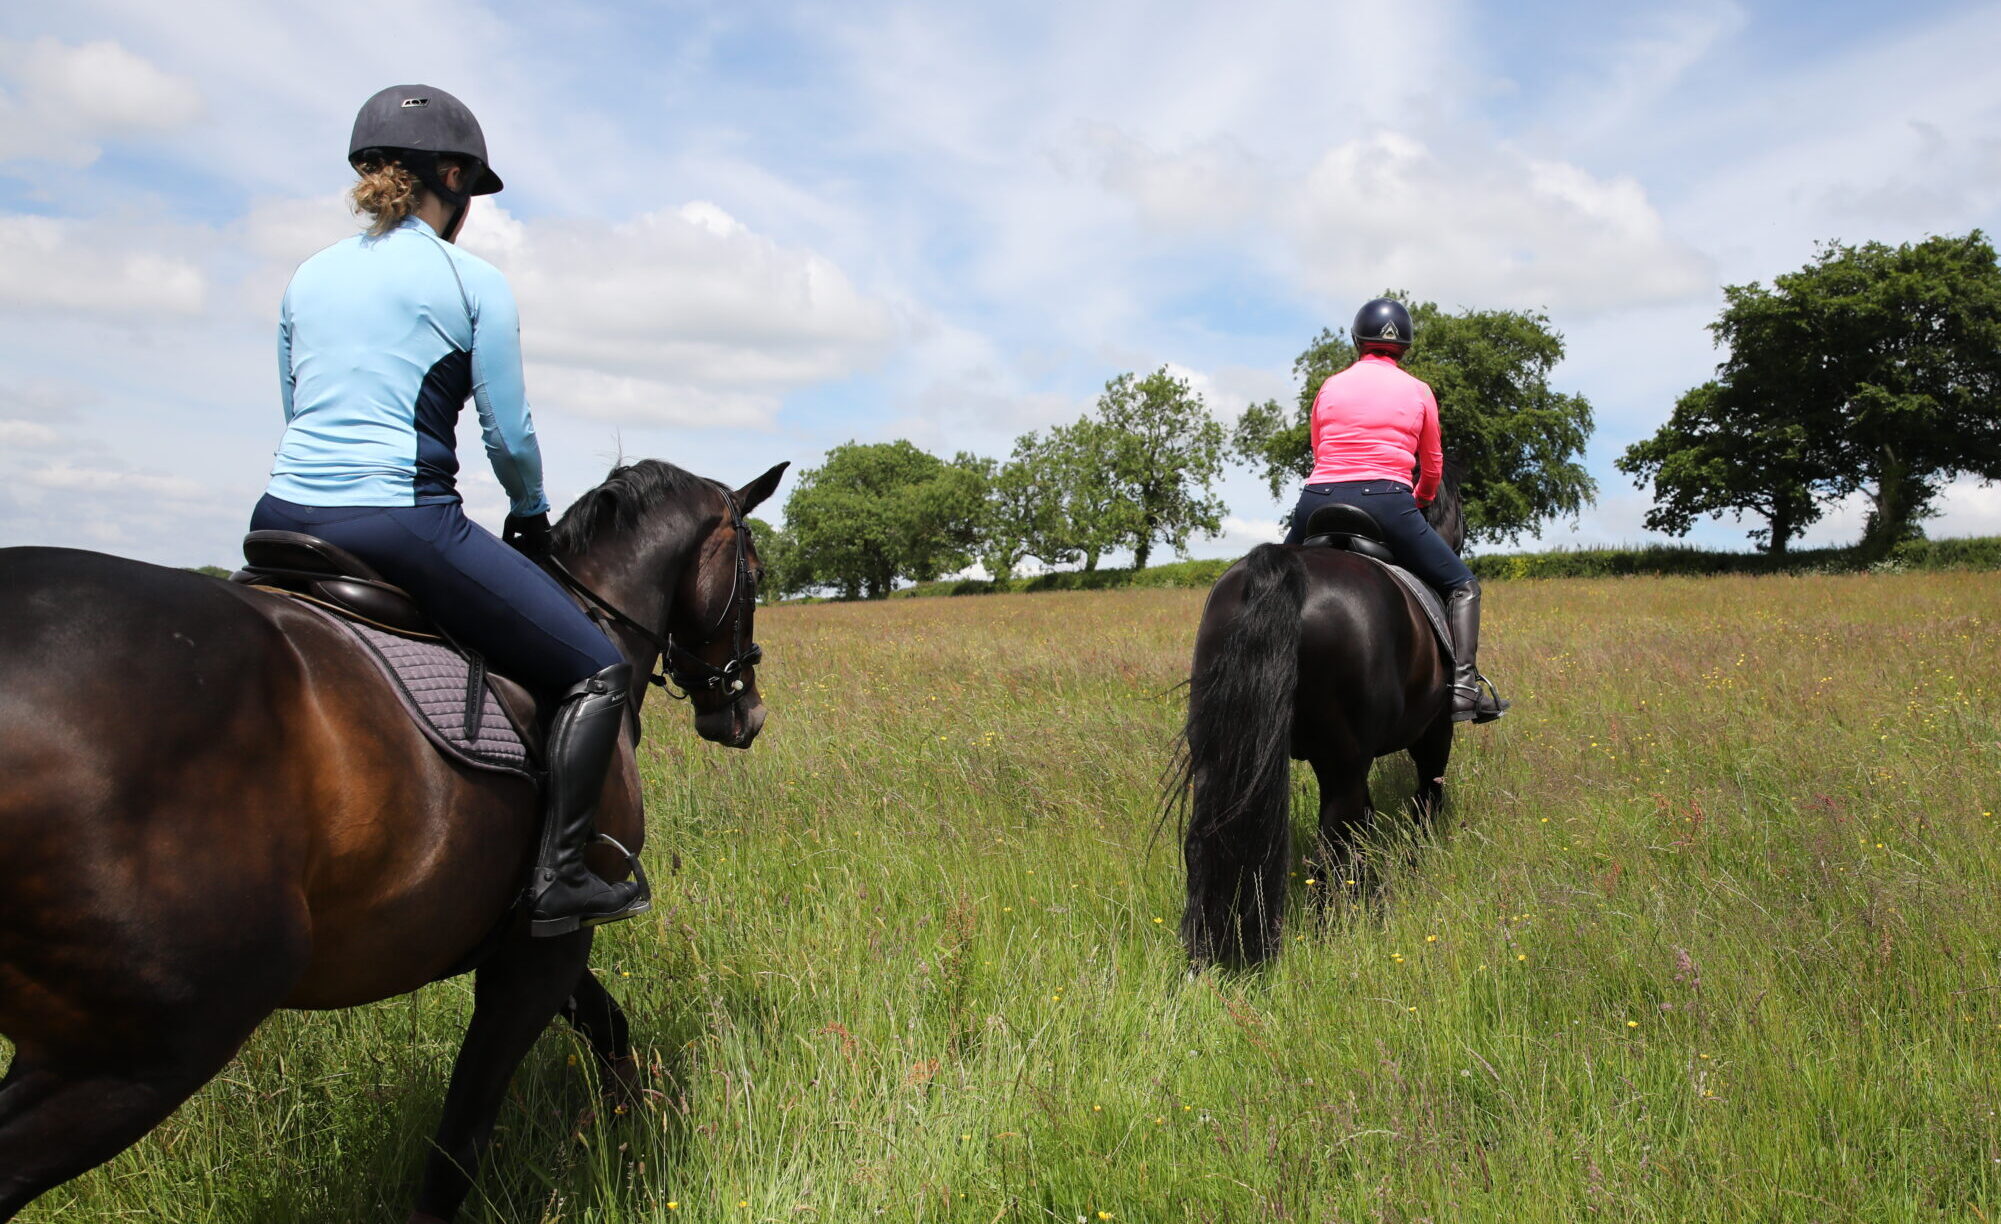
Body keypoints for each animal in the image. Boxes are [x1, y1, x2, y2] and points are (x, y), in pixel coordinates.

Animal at [0, 457, 786, 1222]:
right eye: (754, 571)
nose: (744, 713)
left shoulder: (525, 934)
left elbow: (607, 1025)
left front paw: (632, 1124)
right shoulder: (552, 937)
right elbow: (461, 1137)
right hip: (144, 1047)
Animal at [1173, 472, 1466, 967]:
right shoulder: (1434, 730)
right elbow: (1426, 798)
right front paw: (1415, 863)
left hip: (1220, 753)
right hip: (1343, 762)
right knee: (1333, 843)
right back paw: (1329, 929)